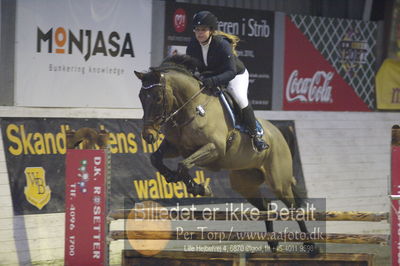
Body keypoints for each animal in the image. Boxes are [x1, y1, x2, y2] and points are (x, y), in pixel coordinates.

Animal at [136, 54, 318, 254]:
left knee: (294, 209)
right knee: (266, 205)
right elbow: (157, 159)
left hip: (279, 182)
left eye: (158, 98)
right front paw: (172, 177)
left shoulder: (214, 148)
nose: (148, 135)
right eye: (141, 97)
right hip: (244, 183)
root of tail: (277, 132)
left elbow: (183, 165)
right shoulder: (177, 147)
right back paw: (273, 243)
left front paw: (199, 188)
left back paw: (310, 246)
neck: (192, 108)